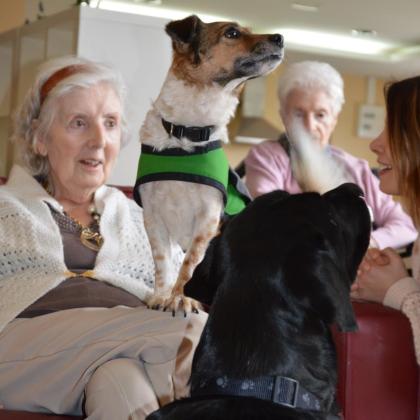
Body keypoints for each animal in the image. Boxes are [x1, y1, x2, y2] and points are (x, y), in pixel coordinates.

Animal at [134, 15, 284, 313]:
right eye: (232, 33)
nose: (281, 38)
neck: (185, 133)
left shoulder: (208, 218)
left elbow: (190, 264)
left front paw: (180, 298)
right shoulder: (153, 216)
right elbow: (162, 262)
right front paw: (162, 296)